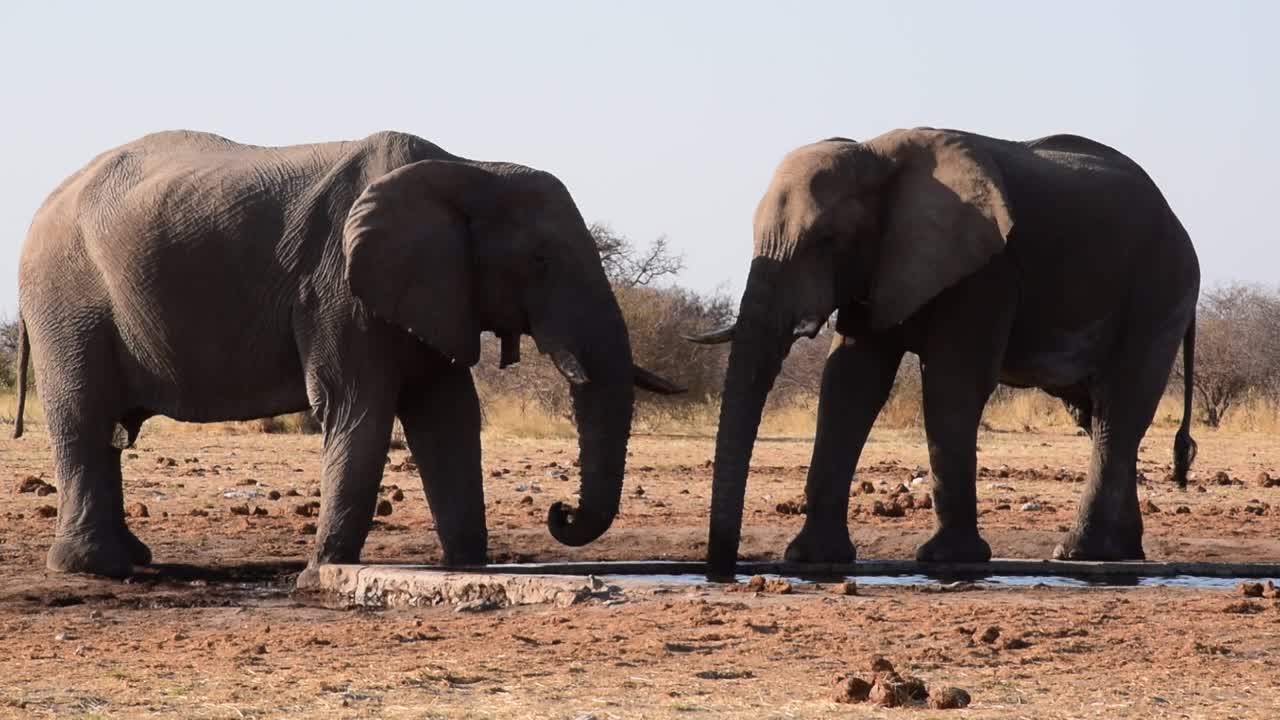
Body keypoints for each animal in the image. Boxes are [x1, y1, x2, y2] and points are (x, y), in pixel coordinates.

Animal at [12, 128, 680, 576]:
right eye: (539, 261)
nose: (559, 512)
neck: (469, 168)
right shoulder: (338, 289)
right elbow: (357, 408)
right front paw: (321, 575)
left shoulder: (431, 291)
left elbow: (447, 415)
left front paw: (466, 570)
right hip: (67, 299)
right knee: (83, 418)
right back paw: (95, 569)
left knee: (100, 430)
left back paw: (128, 560)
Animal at [691, 127, 1198, 576]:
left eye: (827, 240)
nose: (722, 570)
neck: (877, 154)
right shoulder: (879, 267)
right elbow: (849, 383)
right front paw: (811, 558)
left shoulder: (986, 270)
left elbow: (951, 385)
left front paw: (946, 559)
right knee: (1095, 417)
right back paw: (1122, 552)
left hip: (1159, 290)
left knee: (1118, 407)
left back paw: (1080, 553)